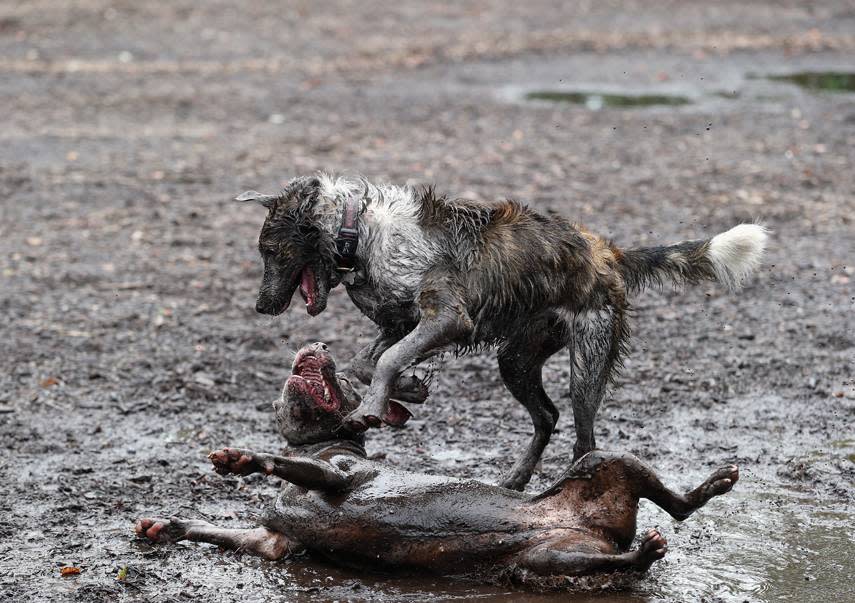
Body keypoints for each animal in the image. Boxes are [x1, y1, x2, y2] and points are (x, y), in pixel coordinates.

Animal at [137, 342, 740, 584]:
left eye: (346, 380)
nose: (317, 343)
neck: (311, 447)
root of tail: (606, 530)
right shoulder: (274, 542)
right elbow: (221, 530)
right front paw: (166, 525)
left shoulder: (340, 477)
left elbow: (286, 466)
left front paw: (241, 458)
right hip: (549, 556)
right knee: (607, 557)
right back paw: (643, 551)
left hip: (605, 463)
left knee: (677, 508)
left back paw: (708, 489)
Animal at [239, 175, 768, 490]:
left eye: (271, 250)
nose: (261, 307)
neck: (358, 234)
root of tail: (607, 252)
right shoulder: (403, 323)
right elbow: (369, 361)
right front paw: (406, 388)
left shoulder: (447, 317)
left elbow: (385, 360)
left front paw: (372, 406)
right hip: (515, 360)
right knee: (547, 417)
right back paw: (515, 480)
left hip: (586, 365)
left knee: (584, 438)